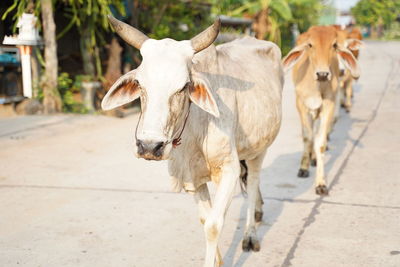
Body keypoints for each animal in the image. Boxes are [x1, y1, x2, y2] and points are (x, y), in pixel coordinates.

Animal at [103, 15, 284, 266]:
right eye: (140, 84)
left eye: (183, 87)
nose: (149, 146)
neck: (197, 127)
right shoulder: (192, 177)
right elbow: (204, 219)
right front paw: (218, 260)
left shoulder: (229, 169)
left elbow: (213, 226)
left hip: (260, 147)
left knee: (254, 180)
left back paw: (250, 235)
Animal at [282, 26, 360, 196]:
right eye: (310, 45)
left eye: (334, 45)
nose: (323, 74)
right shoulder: (301, 105)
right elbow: (308, 137)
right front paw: (303, 168)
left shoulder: (328, 105)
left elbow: (321, 143)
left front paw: (320, 183)